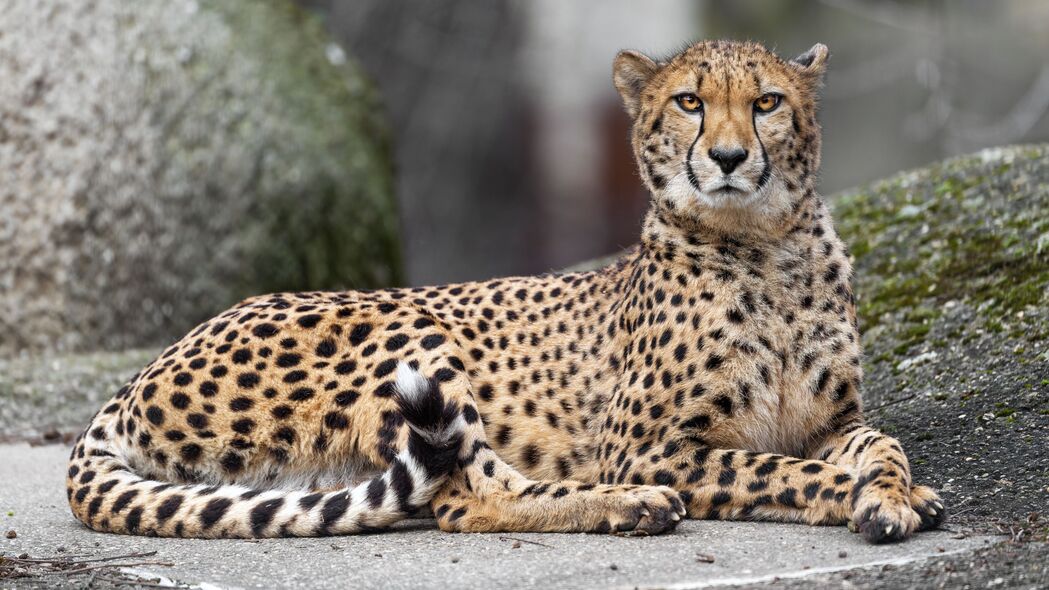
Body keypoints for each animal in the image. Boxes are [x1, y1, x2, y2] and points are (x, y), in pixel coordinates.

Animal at [69, 39, 948, 541]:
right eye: (688, 102)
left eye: (766, 103)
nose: (729, 158)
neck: (766, 249)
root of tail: (145, 370)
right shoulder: (652, 444)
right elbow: (770, 469)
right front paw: (862, 497)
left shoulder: (829, 422)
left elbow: (879, 444)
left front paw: (895, 488)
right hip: (407, 338)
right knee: (466, 498)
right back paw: (627, 503)